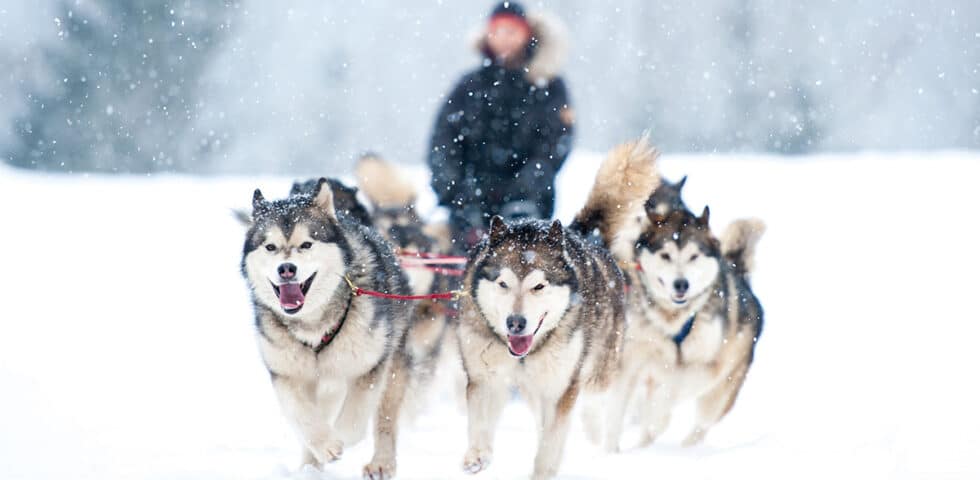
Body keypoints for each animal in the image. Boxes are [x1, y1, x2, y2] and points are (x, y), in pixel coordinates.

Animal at [242, 178, 418, 478]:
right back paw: (309, 466)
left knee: (384, 418)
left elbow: (355, 421)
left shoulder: (370, 367)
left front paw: (340, 438)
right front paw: (323, 446)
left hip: (392, 364)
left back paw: (381, 462)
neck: (313, 324)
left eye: (306, 244)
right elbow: (303, 415)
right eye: (270, 247)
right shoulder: (286, 374)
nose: (286, 269)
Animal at [458, 137, 660, 478]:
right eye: (503, 284)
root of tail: (575, 233)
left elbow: (551, 444)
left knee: (594, 401)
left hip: (596, 368)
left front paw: (543, 470)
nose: (515, 323)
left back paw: (596, 433)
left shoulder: (561, 387)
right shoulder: (485, 376)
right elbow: (481, 422)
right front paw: (477, 455)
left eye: (539, 286)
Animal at [600, 205, 768, 450]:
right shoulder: (630, 359)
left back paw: (684, 446)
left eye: (693, 256)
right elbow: (614, 412)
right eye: (665, 255)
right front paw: (609, 450)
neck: (673, 319)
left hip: (719, 394)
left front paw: (656, 417)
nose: (681, 284)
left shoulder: (706, 367)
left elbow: (670, 392)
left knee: (701, 425)